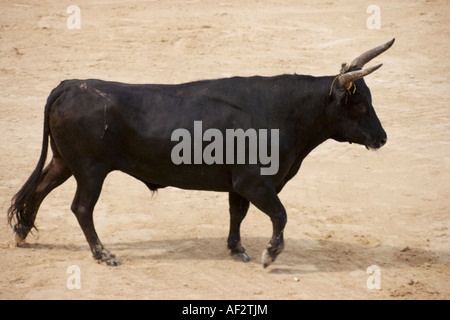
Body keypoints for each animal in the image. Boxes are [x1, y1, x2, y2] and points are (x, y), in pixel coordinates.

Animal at [7, 38, 394, 266]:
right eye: (360, 105)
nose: (382, 138)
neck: (285, 112)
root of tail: (70, 85)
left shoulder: (239, 184)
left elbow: (237, 214)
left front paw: (237, 249)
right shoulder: (256, 182)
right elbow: (280, 214)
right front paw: (270, 254)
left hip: (63, 162)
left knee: (39, 190)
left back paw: (22, 233)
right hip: (90, 170)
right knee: (82, 208)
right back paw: (103, 255)